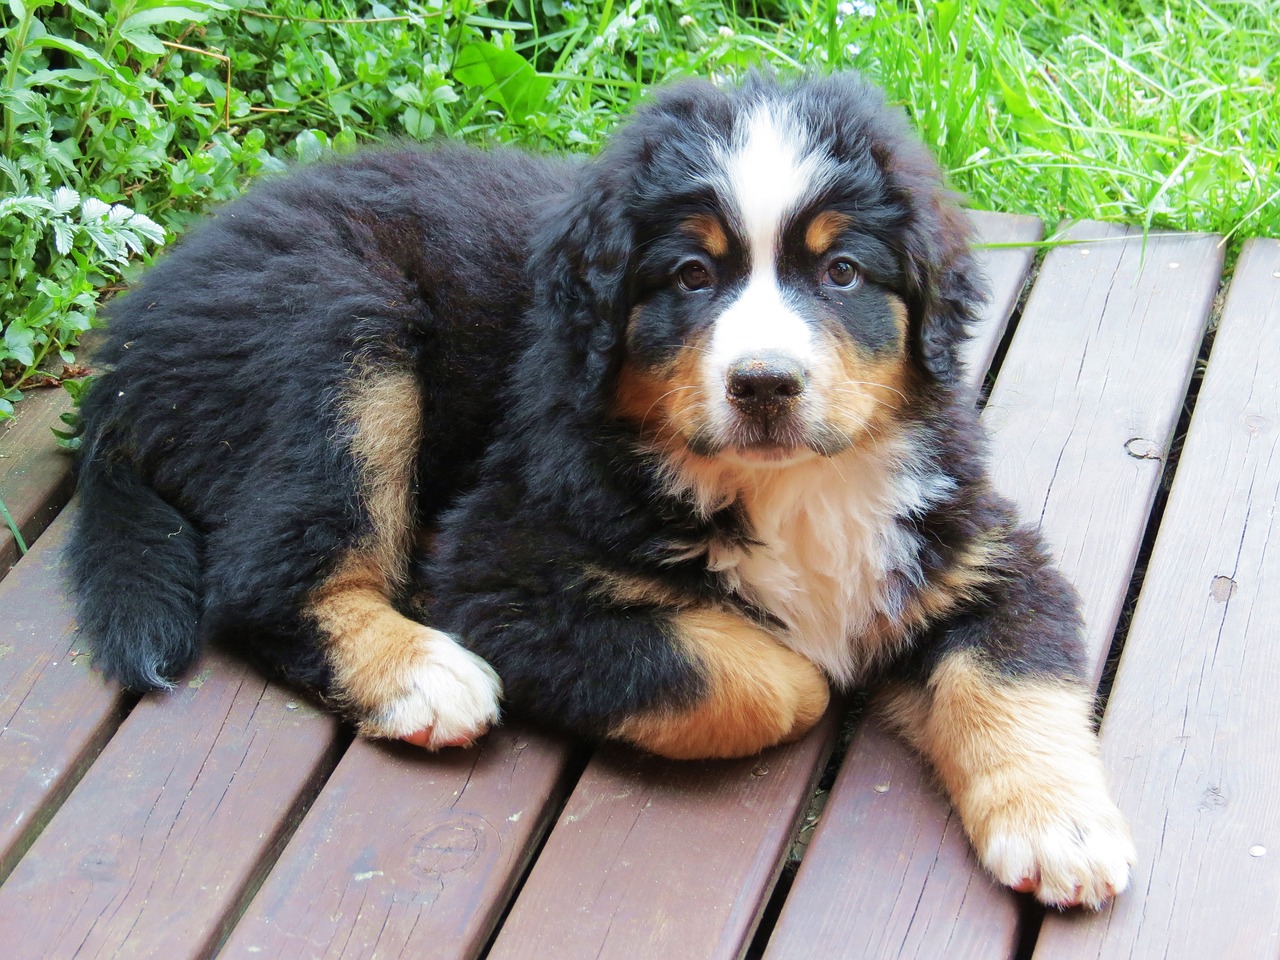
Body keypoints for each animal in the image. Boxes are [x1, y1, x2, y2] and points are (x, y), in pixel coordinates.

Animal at [70, 73, 1131, 911]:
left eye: (842, 271)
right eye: (692, 275)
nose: (765, 385)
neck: (785, 488)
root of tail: (125, 348)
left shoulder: (971, 542)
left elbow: (1014, 673)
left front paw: (1063, 830)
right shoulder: (499, 569)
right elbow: (761, 679)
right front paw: (803, 660)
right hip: (339, 335)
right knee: (266, 576)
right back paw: (421, 674)